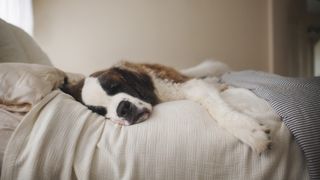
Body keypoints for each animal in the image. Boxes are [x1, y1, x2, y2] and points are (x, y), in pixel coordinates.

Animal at [62, 60, 272, 153]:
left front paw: (249, 131)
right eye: (100, 111)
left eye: (115, 86)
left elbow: (217, 107)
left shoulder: (189, 86)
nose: (122, 108)